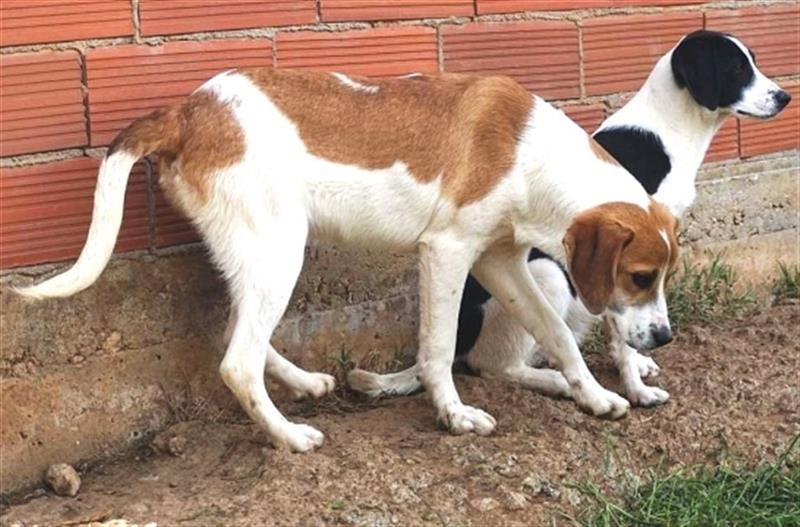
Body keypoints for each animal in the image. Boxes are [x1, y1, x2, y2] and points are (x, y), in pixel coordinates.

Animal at [16, 68, 680, 451]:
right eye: (640, 277)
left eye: (659, 279)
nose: (665, 338)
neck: (532, 157)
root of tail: (187, 110)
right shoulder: (448, 252)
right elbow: (439, 349)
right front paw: (454, 416)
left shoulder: (501, 261)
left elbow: (557, 335)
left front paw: (595, 397)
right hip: (279, 250)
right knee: (236, 361)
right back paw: (289, 437)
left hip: (256, 254)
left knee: (235, 333)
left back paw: (304, 383)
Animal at [347, 30, 792, 407]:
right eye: (737, 69)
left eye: (754, 62)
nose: (785, 97)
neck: (666, 132)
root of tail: (464, 334)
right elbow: (623, 329)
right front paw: (636, 387)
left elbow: (630, 326)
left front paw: (637, 362)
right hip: (549, 279)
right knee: (495, 367)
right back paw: (556, 380)